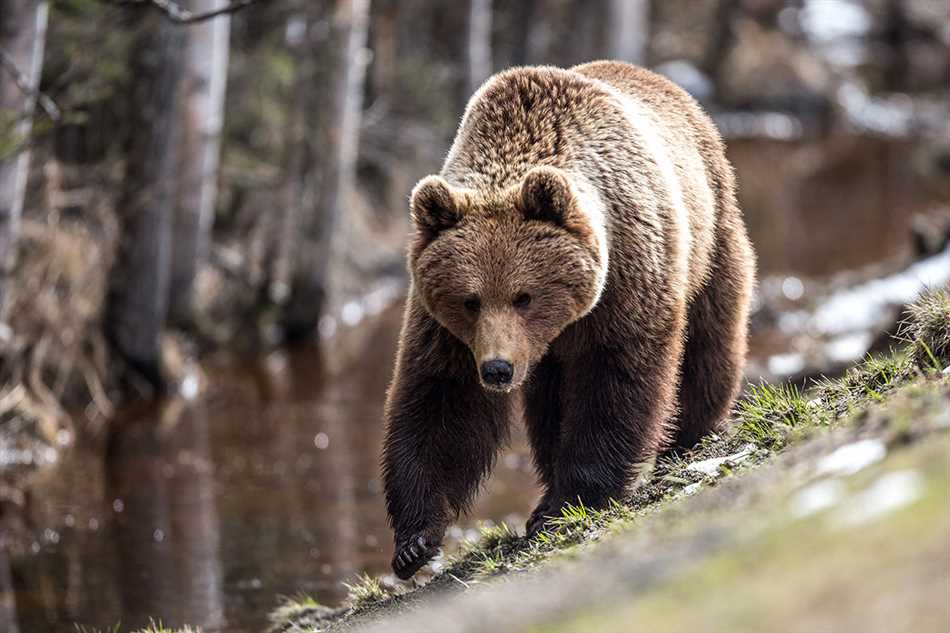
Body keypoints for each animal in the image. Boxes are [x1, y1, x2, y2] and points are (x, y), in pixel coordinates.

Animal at [384, 60, 756, 576]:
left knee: (709, 334)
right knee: (547, 399)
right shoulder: (445, 328)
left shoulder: (626, 275)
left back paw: (691, 433)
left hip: (710, 229)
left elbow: (614, 378)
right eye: (470, 300)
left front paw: (569, 500)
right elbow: (442, 397)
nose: (497, 369)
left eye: (524, 296)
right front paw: (415, 540)